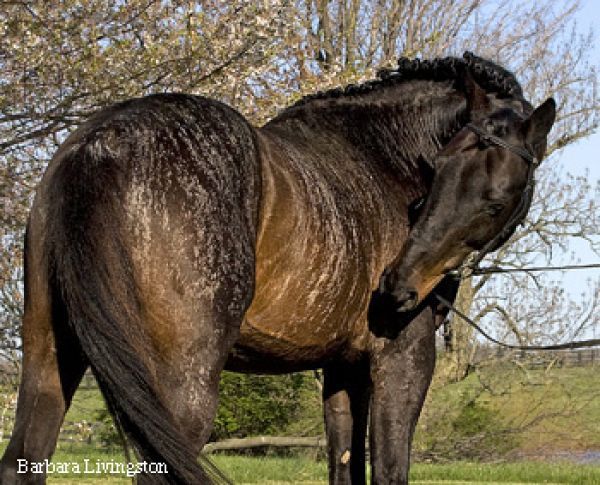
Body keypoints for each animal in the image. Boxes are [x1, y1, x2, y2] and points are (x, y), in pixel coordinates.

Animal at [0, 51, 552, 482]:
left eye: (494, 198)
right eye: (436, 171)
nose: (397, 288)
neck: (378, 161)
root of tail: (103, 143)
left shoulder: (343, 369)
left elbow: (344, 465)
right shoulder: (403, 362)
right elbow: (390, 469)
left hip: (49, 359)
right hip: (182, 391)